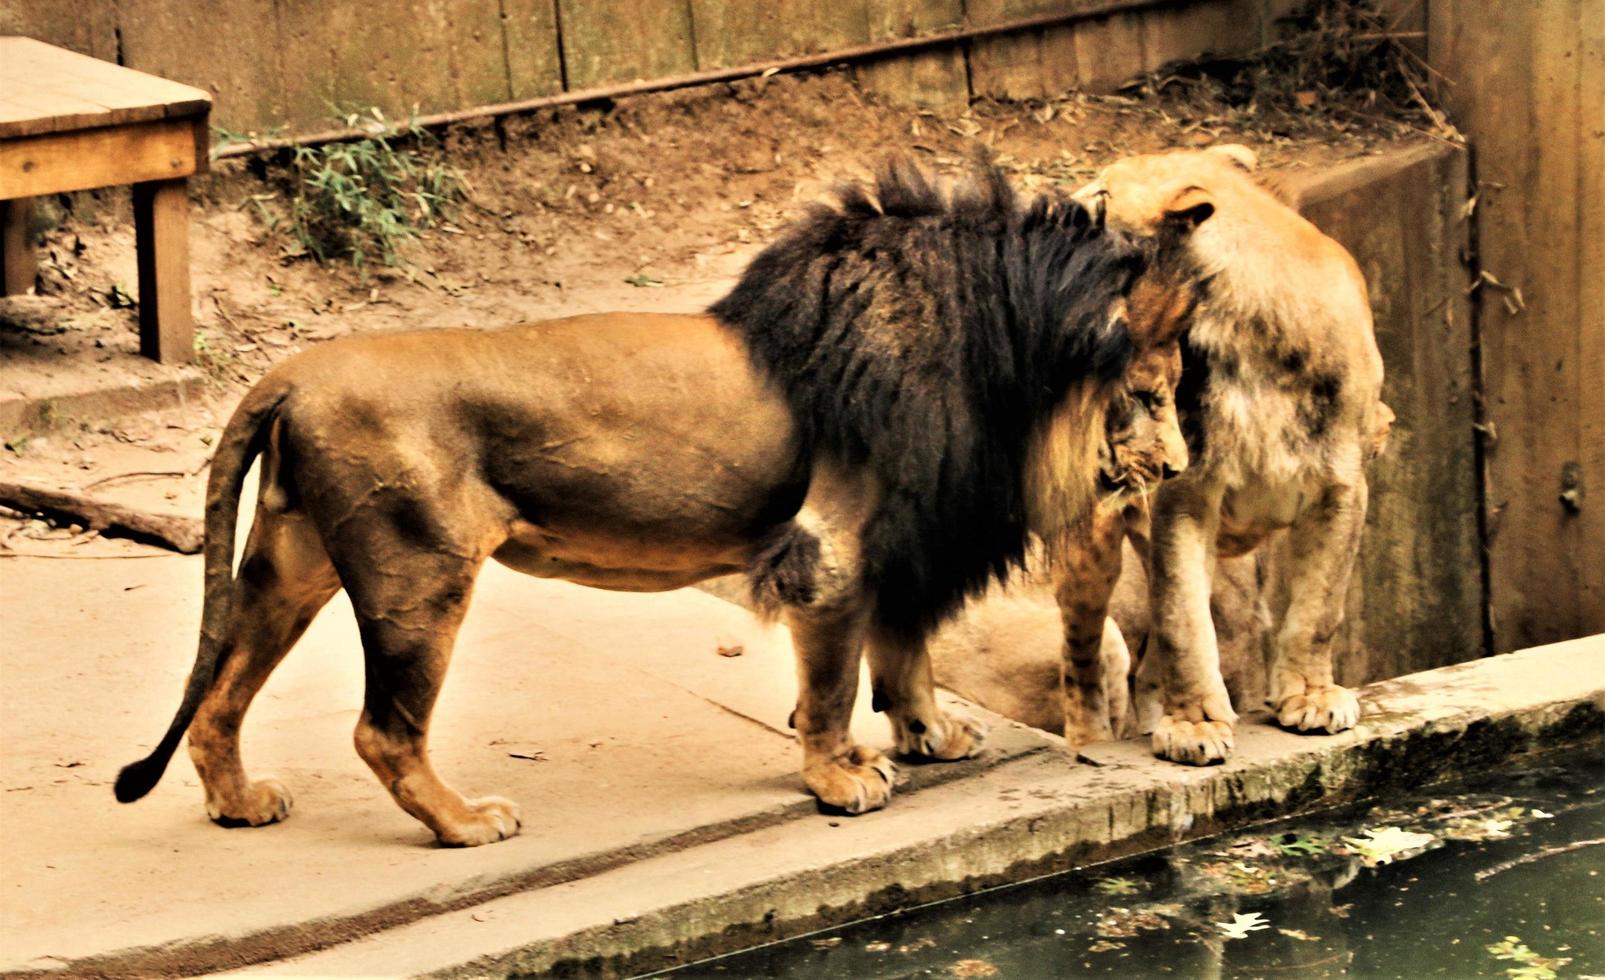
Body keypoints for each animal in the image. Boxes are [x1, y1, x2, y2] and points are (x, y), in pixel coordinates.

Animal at [116, 162, 1206, 840]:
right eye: (1156, 389)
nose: (1177, 464)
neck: (1009, 359)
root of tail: (290, 373)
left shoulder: (909, 538)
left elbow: (906, 654)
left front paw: (930, 735)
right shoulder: (833, 549)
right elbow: (832, 685)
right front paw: (841, 778)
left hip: (291, 563)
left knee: (220, 694)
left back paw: (239, 802)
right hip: (416, 574)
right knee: (381, 729)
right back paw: (466, 824)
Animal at [1072, 145, 1399, 763]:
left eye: (1100, 197)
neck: (1246, 338)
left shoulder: (1341, 486)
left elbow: (1318, 608)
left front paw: (1310, 697)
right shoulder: (1184, 495)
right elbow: (1183, 621)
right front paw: (1194, 724)